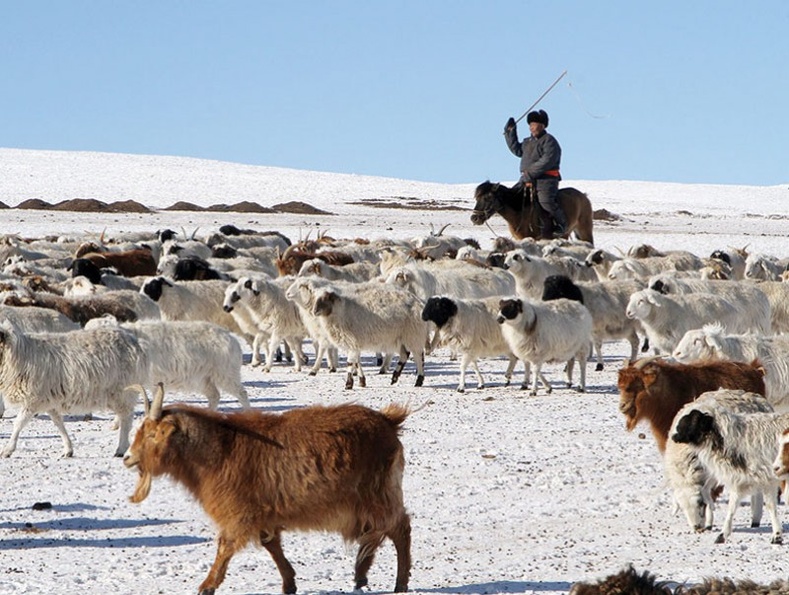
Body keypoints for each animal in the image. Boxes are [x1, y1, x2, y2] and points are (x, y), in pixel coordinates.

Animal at [0, 318, 148, 458]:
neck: (19, 354)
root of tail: (132, 340)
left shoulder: (33, 399)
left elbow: (18, 423)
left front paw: (7, 450)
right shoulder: (49, 399)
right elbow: (58, 423)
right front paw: (68, 449)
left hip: (122, 390)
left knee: (126, 417)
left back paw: (121, 448)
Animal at [123, 386, 412, 595]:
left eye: (152, 435)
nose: (127, 457)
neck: (220, 449)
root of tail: (388, 421)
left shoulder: (239, 511)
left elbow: (226, 546)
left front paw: (207, 586)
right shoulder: (263, 511)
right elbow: (270, 544)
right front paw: (289, 583)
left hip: (378, 494)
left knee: (399, 528)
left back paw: (399, 583)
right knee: (375, 533)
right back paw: (361, 574)